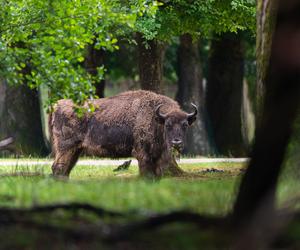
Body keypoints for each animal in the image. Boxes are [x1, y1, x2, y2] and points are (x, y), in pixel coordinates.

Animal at [49, 90, 197, 178]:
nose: (176, 142)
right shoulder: (143, 155)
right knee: (58, 167)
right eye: (167, 125)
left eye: (185, 125)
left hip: (76, 150)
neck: (156, 118)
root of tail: (57, 105)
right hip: (66, 148)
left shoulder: (157, 158)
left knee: (66, 170)